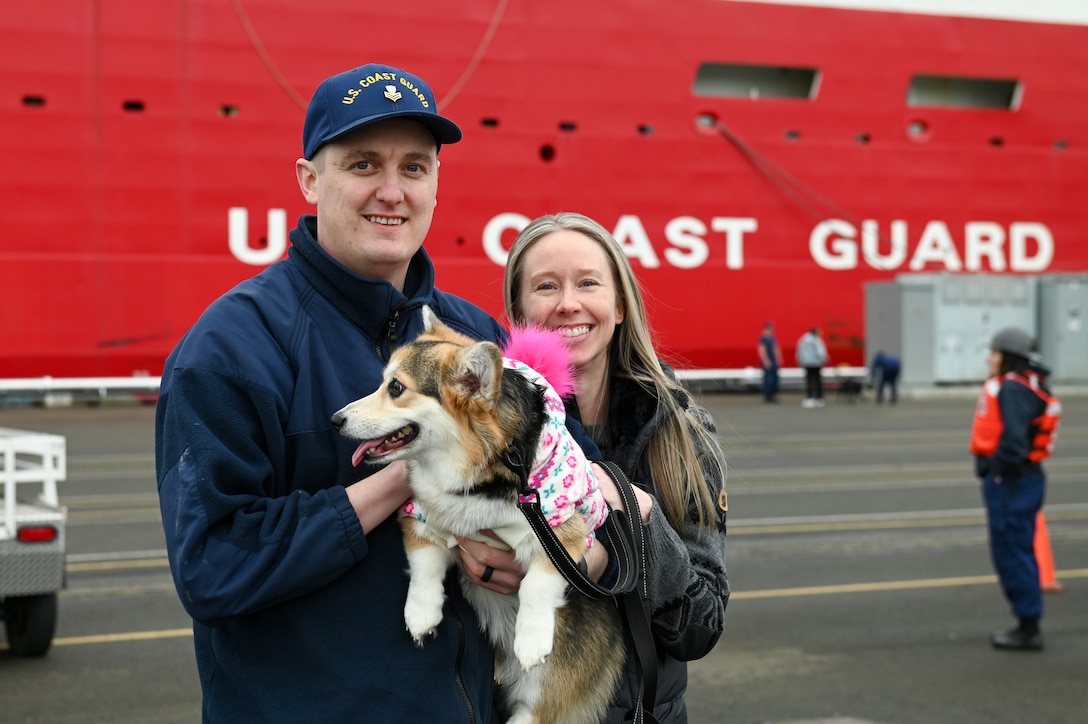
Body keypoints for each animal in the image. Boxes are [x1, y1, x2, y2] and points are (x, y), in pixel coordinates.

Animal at [328, 307, 622, 722]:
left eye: (396, 388)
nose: (335, 420)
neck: (478, 468)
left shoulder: (560, 529)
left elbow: (537, 584)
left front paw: (531, 640)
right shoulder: (421, 514)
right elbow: (424, 566)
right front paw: (421, 615)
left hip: (537, 706)